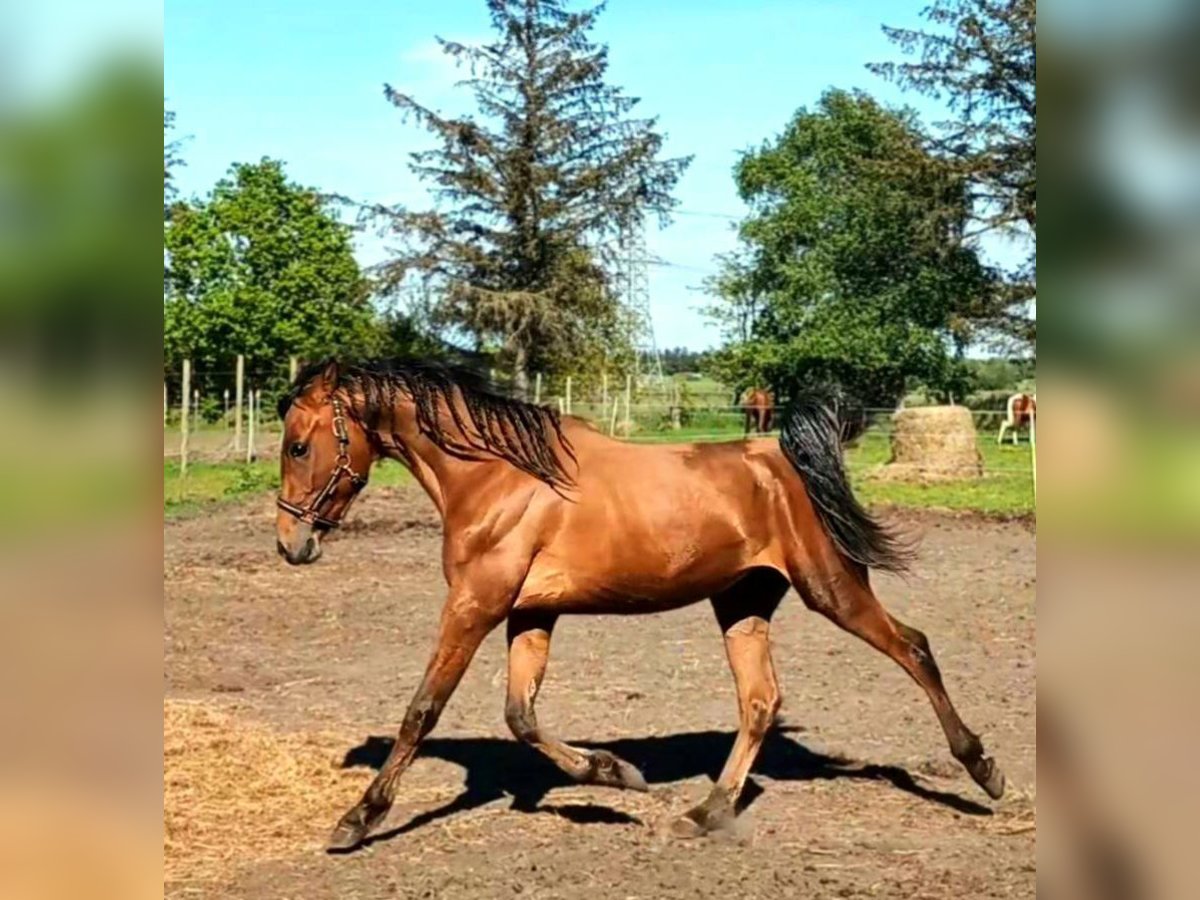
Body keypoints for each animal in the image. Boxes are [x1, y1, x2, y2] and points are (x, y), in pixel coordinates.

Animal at [276, 359, 1006, 851]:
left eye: (299, 444)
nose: (291, 543)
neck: (498, 479)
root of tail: (786, 459)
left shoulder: (475, 606)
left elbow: (422, 710)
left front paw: (356, 820)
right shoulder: (529, 613)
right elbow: (521, 715)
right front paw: (615, 775)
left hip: (831, 588)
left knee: (913, 647)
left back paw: (983, 771)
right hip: (742, 602)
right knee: (761, 701)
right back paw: (705, 813)